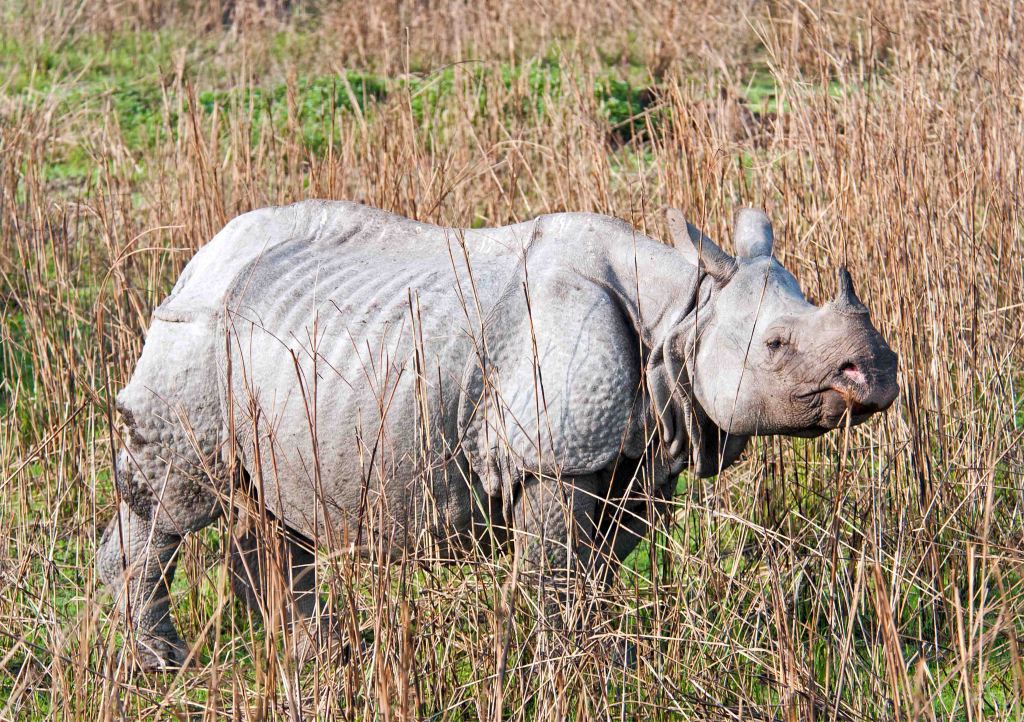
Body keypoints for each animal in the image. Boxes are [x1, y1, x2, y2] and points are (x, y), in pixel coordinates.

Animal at [96, 200, 898, 669]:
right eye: (776, 346)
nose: (881, 373)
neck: (681, 315)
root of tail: (193, 263)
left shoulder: (626, 459)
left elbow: (594, 573)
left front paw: (607, 663)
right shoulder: (554, 457)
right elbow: (556, 572)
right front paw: (568, 673)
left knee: (274, 511)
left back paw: (325, 658)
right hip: (196, 336)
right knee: (173, 500)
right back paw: (165, 664)